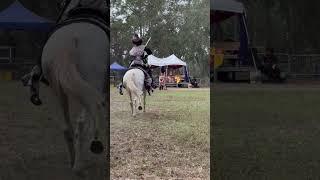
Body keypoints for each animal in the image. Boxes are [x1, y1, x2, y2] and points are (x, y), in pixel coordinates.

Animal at [40, 0, 109, 177]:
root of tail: (70, 38)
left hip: (58, 90)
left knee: (67, 127)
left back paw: (74, 164)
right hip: (92, 84)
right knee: (83, 123)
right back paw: (79, 165)